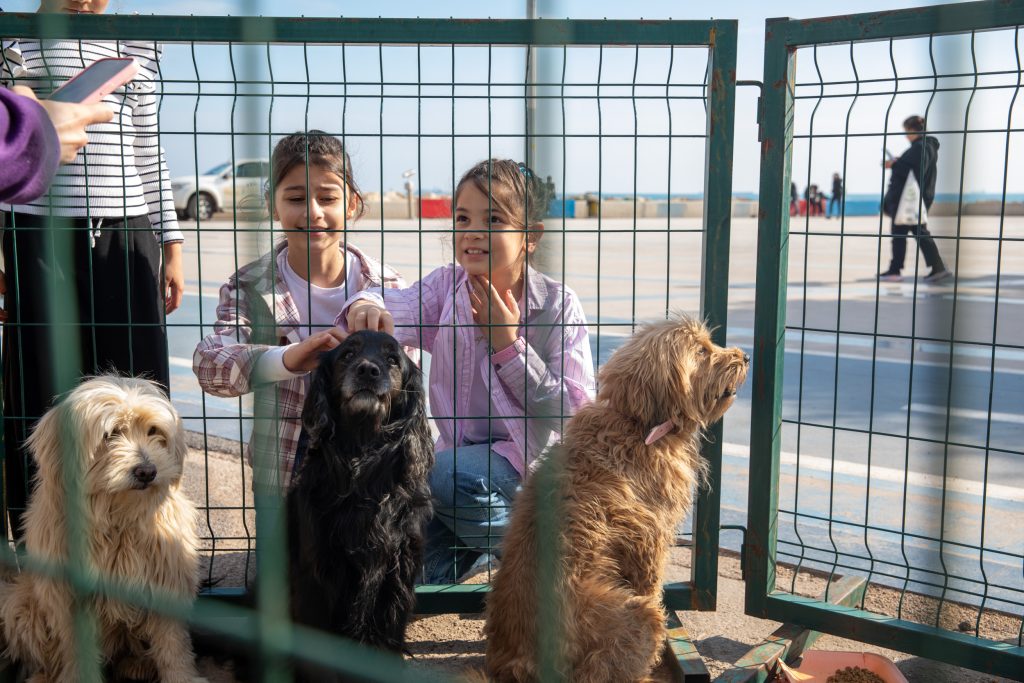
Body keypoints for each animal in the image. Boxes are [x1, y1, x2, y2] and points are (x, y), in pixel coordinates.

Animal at [1, 376, 205, 679]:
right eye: (111, 434)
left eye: (153, 430)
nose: (147, 471)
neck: (118, 521)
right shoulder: (73, 604)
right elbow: (80, 654)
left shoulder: (166, 584)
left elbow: (173, 648)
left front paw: (183, 678)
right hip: (20, 606)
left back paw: (137, 664)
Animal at [483, 317, 749, 679]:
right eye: (701, 351)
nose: (744, 356)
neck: (636, 425)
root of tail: (522, 662)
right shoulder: (650, 538)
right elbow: (652, 584)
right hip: (637, 616)